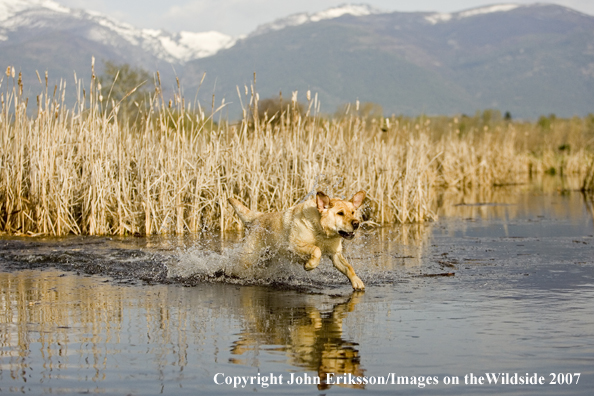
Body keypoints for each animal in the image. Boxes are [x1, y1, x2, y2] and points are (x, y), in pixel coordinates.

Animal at [228, 190, 364, 290]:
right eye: (340, 213)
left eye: (353, 212)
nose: (356, 223)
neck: (321, 232)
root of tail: (259, 216)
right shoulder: (294, 244)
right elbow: (317, 250)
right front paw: (309, 265)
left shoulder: (335, 254)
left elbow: (349, 268)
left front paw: (357, 281)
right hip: (248, 258)